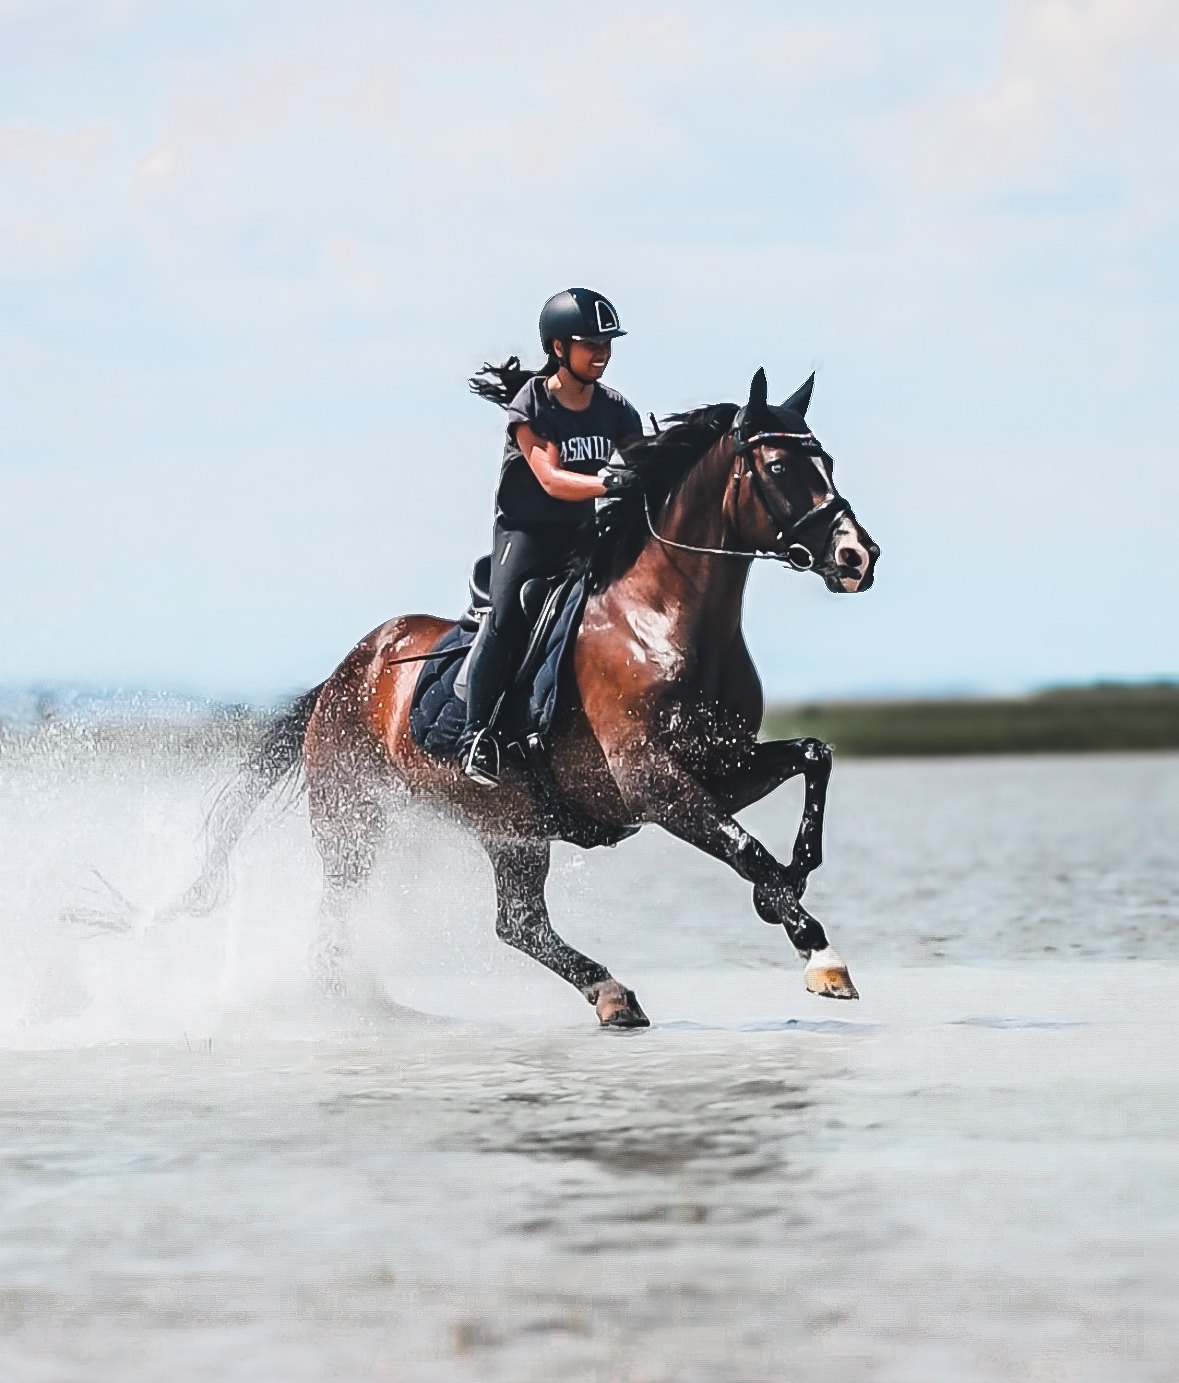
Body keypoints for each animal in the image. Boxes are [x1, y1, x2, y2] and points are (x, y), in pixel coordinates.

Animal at [172, 367, 879, 1027]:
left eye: (829, 462)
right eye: (781, 466)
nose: (857, 557)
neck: (662, 619)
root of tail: (345, 674)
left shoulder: (720, 767)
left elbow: (812, 760)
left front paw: (787, 890)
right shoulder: (655, 784)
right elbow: (745, 848)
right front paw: (817, 951)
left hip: (509, 829)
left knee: (518, 923)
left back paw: (610, 995)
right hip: (355, 815)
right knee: (344, 914)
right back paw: (344, 1005)